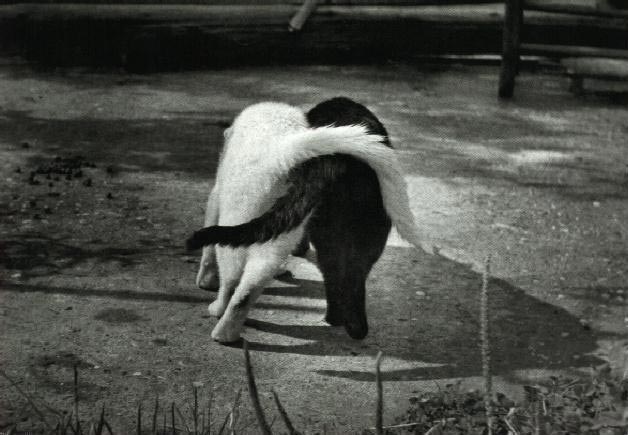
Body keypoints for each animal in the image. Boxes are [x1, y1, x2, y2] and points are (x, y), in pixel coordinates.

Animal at [188, 99, 426, 342]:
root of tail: (286, 152)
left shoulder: (217, 194)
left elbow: (208, 247)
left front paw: (206, 280)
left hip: (240, 215)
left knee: (233, 278)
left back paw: (220, 316)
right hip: (331, 237)